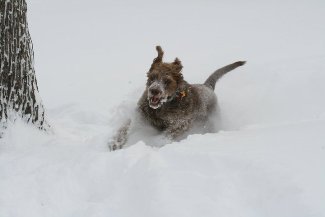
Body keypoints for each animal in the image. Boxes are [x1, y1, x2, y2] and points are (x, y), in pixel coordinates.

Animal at [110, 45, 244, 151]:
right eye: (152, 77)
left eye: (167, 81)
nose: (154, 91)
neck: (162, 107)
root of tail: (207, 86)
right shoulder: (140, 116)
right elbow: (126, 127)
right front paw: (116, 142)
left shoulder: (181, 124)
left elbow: (166, 135)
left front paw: (153, 143)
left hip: (212, 121)